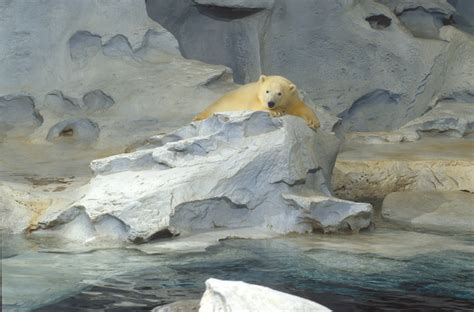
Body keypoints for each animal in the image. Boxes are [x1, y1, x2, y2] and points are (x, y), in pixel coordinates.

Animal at [193, 75, 322, 129]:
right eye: (267, 91)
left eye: (279, 93)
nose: (271, 103)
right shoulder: (252, 97)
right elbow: (255, 106)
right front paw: (276, 112)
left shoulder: (292, 100)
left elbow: (302, 108)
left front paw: (314, 122)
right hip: (218, 105)